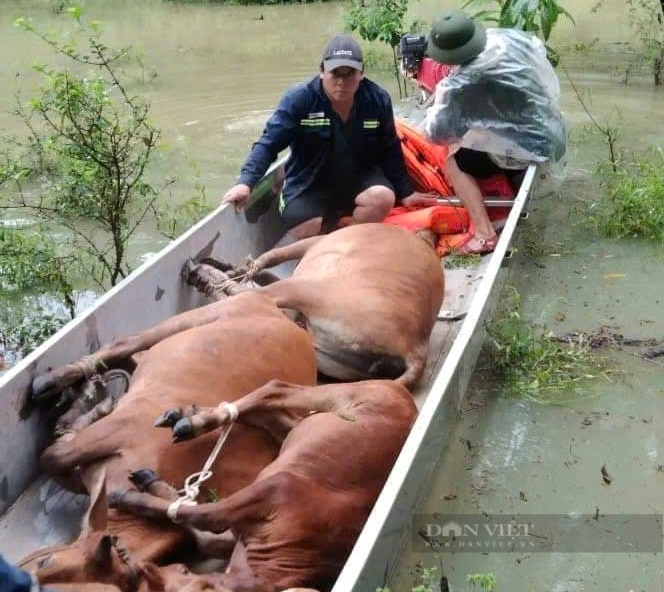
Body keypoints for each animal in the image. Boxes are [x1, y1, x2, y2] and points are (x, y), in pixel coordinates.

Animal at [19, 294, 318, 588]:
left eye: (44, 563)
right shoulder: (119, 428)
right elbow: (55, 459)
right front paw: (86, 407)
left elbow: (52, 458)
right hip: (195, 317)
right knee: (125, 344)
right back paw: (54, 380)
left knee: (132, 357)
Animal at [111, 380, 418, 592]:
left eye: (185, 572)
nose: (145, 569)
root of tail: (406, 396)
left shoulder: (268, 493)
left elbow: (203, 519)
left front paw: (126, 497)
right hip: (341, 397)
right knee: (275, 391)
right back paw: (192, 417)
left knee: (277, 405)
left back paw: (192, 416)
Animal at [185, 222, 446, 388]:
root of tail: (416, 349)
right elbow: (264, 271)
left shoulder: (313, 243)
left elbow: (270, 258)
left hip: (311, 288)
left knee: (247, 296)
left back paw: (200, 273)